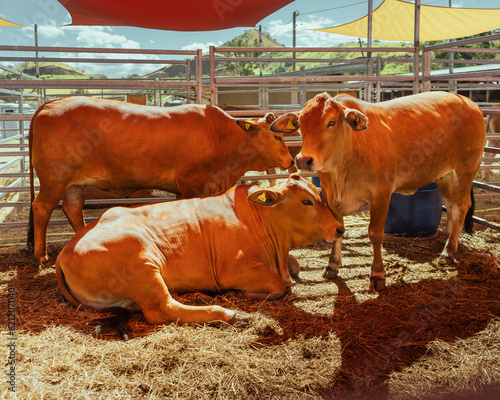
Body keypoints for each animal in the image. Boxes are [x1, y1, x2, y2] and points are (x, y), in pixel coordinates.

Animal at [29, 96, 298, 266]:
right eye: (276, 136)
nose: (290, 160)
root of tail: (50, 104)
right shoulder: (191, 182)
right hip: (54, 179)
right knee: (42, 208)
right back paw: (41, 256)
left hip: (73, 183)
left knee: (73, 208)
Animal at [54, 174, 344, 324]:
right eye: (306, 201)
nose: (339, 228)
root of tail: (65, 251)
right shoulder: (237, 270)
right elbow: (279, 285)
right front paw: (249, 294)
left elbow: (294, 267)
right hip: (143, 265)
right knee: (163, 309)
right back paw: (230, 313)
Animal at [294, 91, 486, 290]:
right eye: (300, 123)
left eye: (331, 122)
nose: (303, 160)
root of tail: (470, 103)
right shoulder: (329, 195)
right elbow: (337, 229)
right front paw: (332, 265)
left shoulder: (381, 194)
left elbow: (375, 234)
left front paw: (377, 274)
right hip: (445, 174)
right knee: (450, 205)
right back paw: (448, 239)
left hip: (465, 169)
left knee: (460, 207)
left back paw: (448, 253)